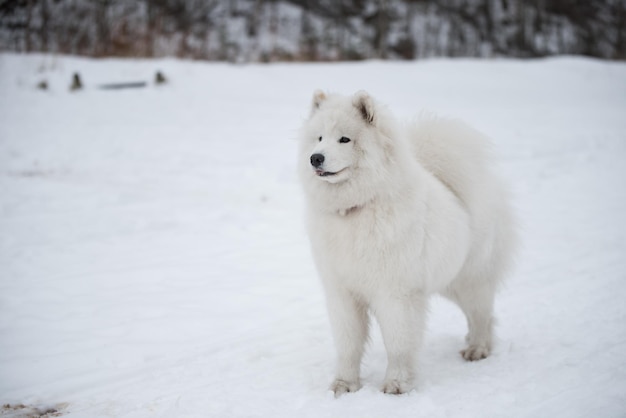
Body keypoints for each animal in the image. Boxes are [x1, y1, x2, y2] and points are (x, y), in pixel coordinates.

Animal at [298, 90, 516, 396]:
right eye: (319, 138)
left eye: (344, 139)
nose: (315, 158)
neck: (358, 208)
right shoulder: (343, 293)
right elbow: (348, 343)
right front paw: (344, 384)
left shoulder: (396, 293)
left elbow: (399, 343)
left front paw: (397, 384)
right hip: (449, 282)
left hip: (470, 280)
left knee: (482, 315)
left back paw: (477, 348)